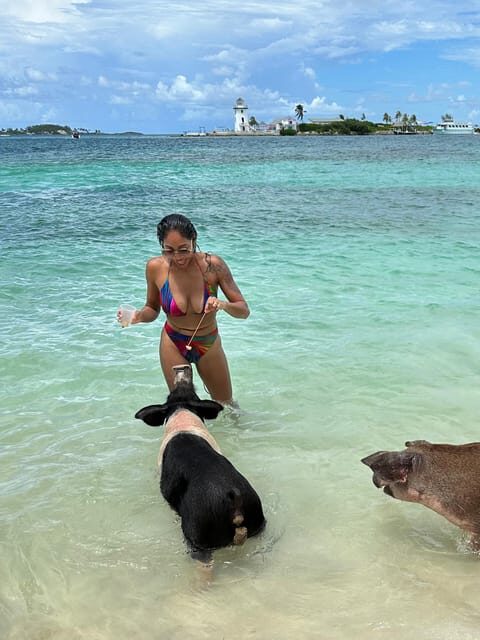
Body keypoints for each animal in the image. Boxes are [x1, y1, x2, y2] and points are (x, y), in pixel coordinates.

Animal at [135, 365, 266, 563]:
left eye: (167, 396)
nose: (181, 368)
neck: (182, 411)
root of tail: (233, 499)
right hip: (258, 521)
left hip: (198, 538)